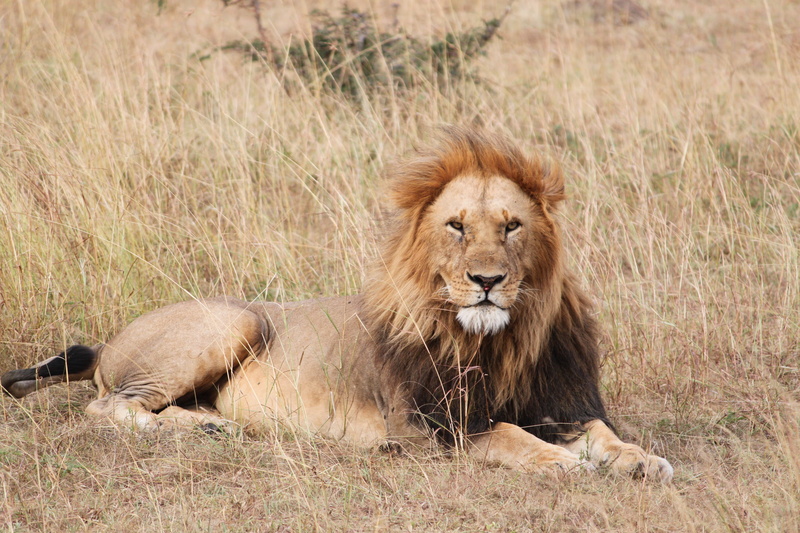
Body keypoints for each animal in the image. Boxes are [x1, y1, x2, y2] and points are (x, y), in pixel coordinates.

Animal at [2, 127, 673, 481]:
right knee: (107, 407)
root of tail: (109, 340)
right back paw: (209, 427)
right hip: (234, 319)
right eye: (456, 226)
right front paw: (568, 466)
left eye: (511, 226)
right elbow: (512, 437)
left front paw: (642, 460)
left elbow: (601, 434)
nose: (487, 280)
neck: (498, 338)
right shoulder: (431, 427)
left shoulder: (557, 404)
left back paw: (215, 424)